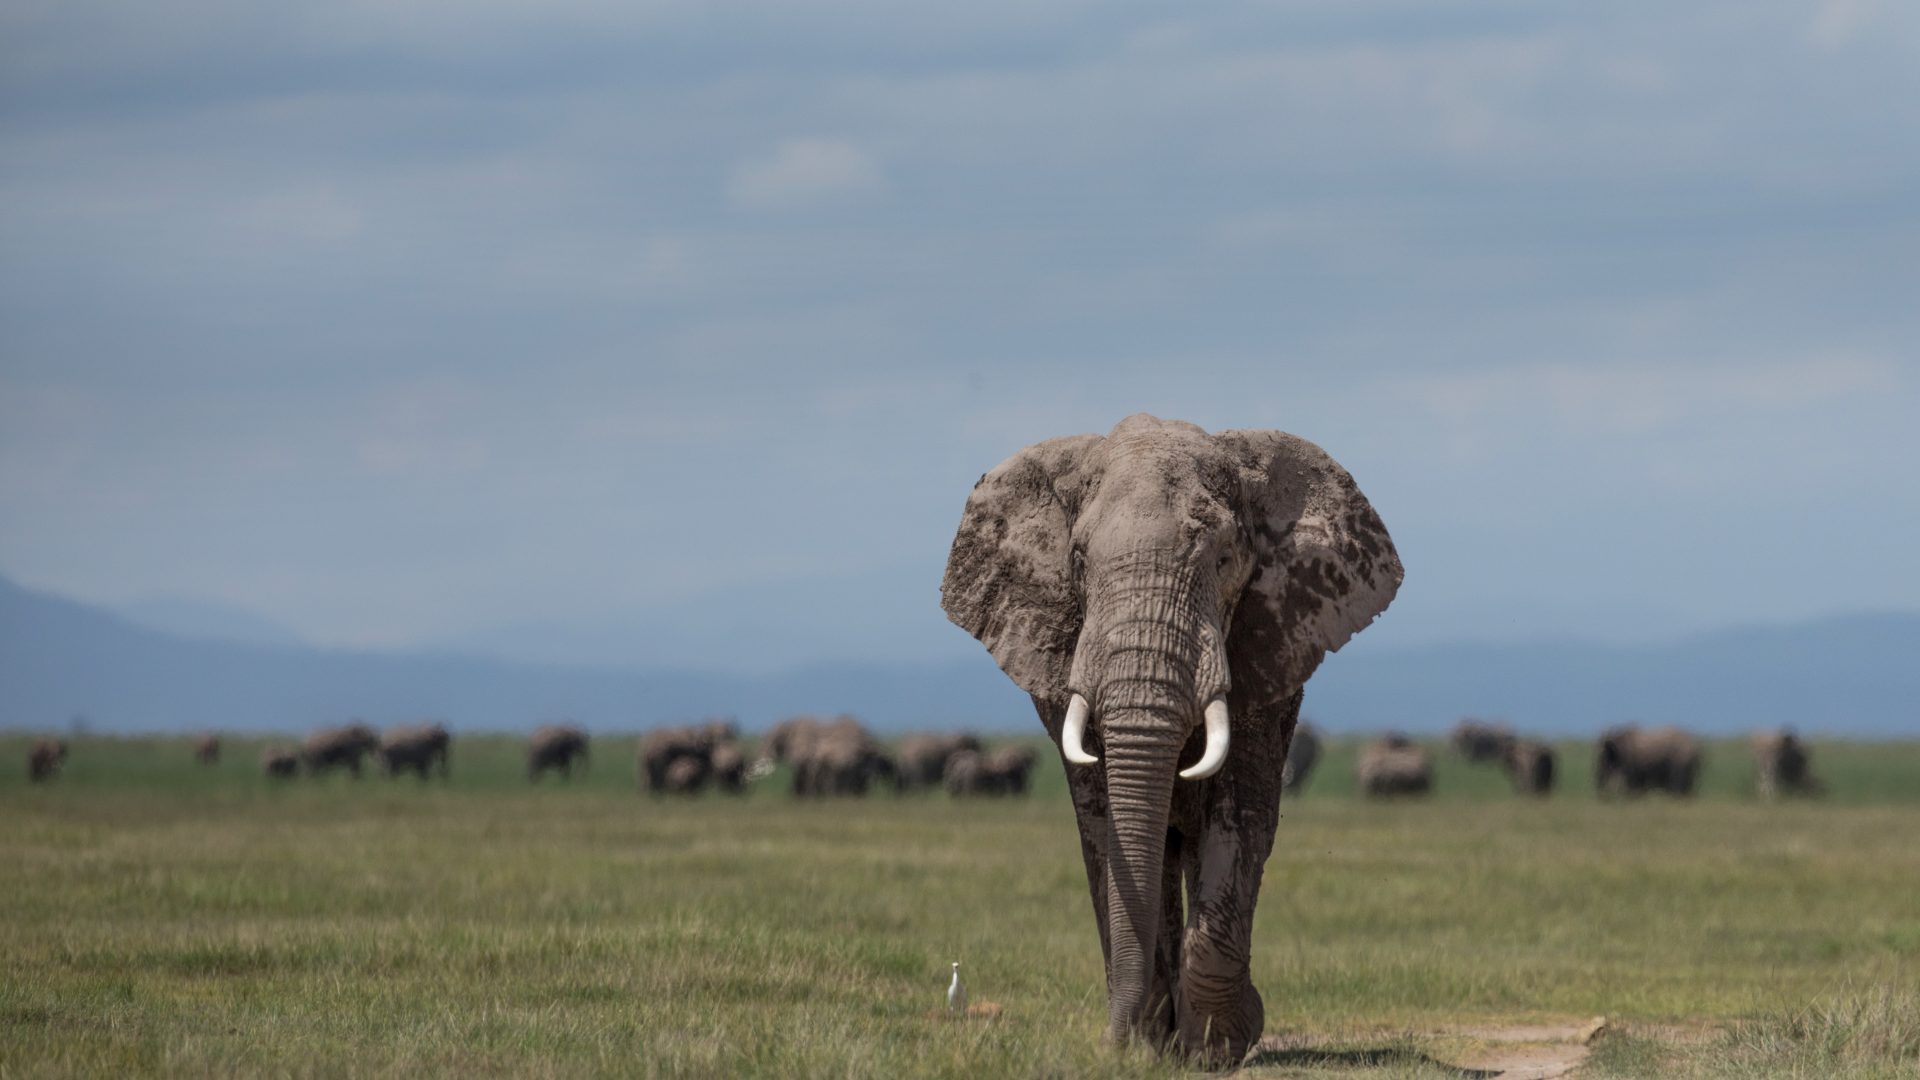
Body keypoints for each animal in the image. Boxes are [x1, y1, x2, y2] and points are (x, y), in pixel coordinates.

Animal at [940, 411, 1405, 1060]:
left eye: (1225, 558)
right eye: (1077, 560)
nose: (1115, 1042)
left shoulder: (1268, 650)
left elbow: (1240, 815)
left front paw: (1220, 1044)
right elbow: (1104, 827)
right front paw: (1149, 1044)